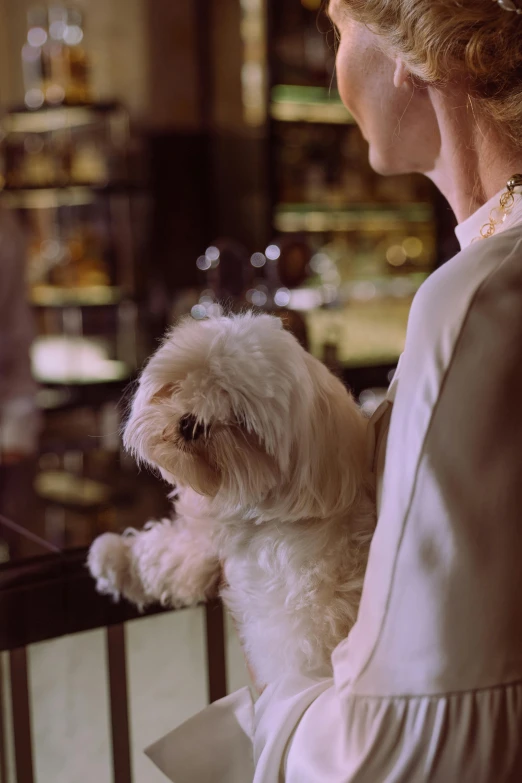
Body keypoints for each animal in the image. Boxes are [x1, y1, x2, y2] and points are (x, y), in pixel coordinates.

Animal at [89, 314, 374, 688]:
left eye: (241, 419)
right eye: (184, 383)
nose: (192, 423)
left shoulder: (212, 540)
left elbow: (163, 555)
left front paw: (113, 557)